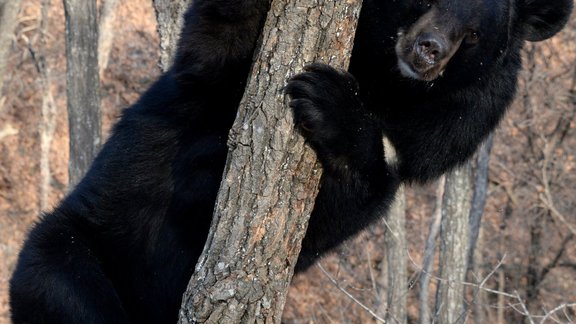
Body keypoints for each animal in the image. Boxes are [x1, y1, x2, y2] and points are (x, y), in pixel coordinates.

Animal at [9, 0, 572, 322]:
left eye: (474, 36)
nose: (428, 51)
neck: (384, 77)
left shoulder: (446, 131)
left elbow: (355, 196)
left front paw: (328, 101)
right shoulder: (217, 77)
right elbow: (216, 51)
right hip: (70, 257)